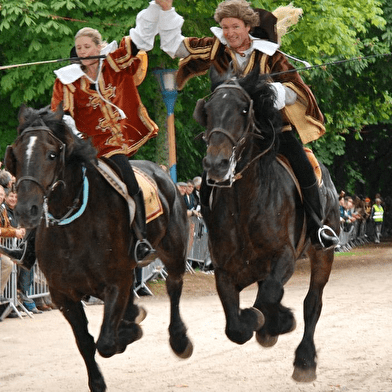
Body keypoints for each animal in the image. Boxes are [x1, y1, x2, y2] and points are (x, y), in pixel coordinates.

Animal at [3, 105, 193, 392]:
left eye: (51, 154)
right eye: (15, 153)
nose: (26, 209)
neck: (73, 227)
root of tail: (162, 174)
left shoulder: (115, 282)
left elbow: (105, 343)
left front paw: (127, 333)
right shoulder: (63, 295)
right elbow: (85, 341)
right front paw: (97, 380)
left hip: (173, 251)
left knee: (174, 284)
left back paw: (178, 339)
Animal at [193, 69, 340, 382]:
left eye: (244, 110)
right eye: (208, 111)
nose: (216, 164)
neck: (244, 205)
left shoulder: (284, 257)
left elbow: (270, 296)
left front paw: (279, 321)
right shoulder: (225, 271)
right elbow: (236, 326)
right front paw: (262, 322)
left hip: (323, 252)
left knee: (312, 302)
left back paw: (304, 360)